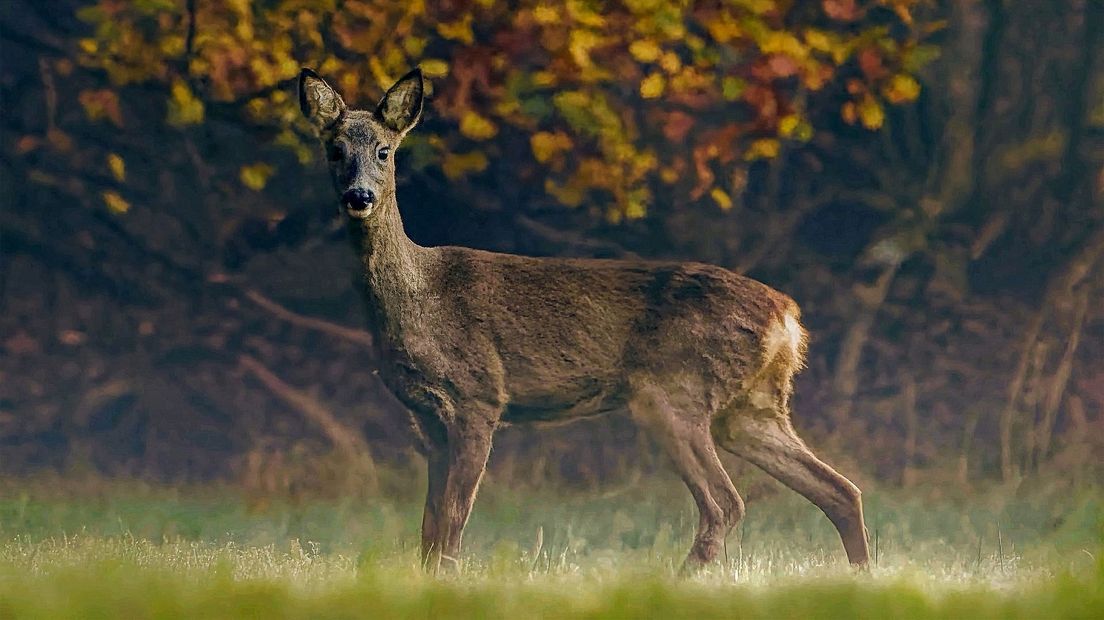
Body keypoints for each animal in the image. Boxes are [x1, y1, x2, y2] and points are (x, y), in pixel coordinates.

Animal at [300, 66, 869, 569]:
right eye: (335, 149)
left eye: (384, 150)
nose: (359, 196)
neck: (418, 296)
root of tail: (788, 318)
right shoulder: (426, 419)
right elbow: (429, 526)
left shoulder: (478, 397)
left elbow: (453, 522)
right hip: (749, 408)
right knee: (839, 489)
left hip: (675, 392)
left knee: (726, 503)